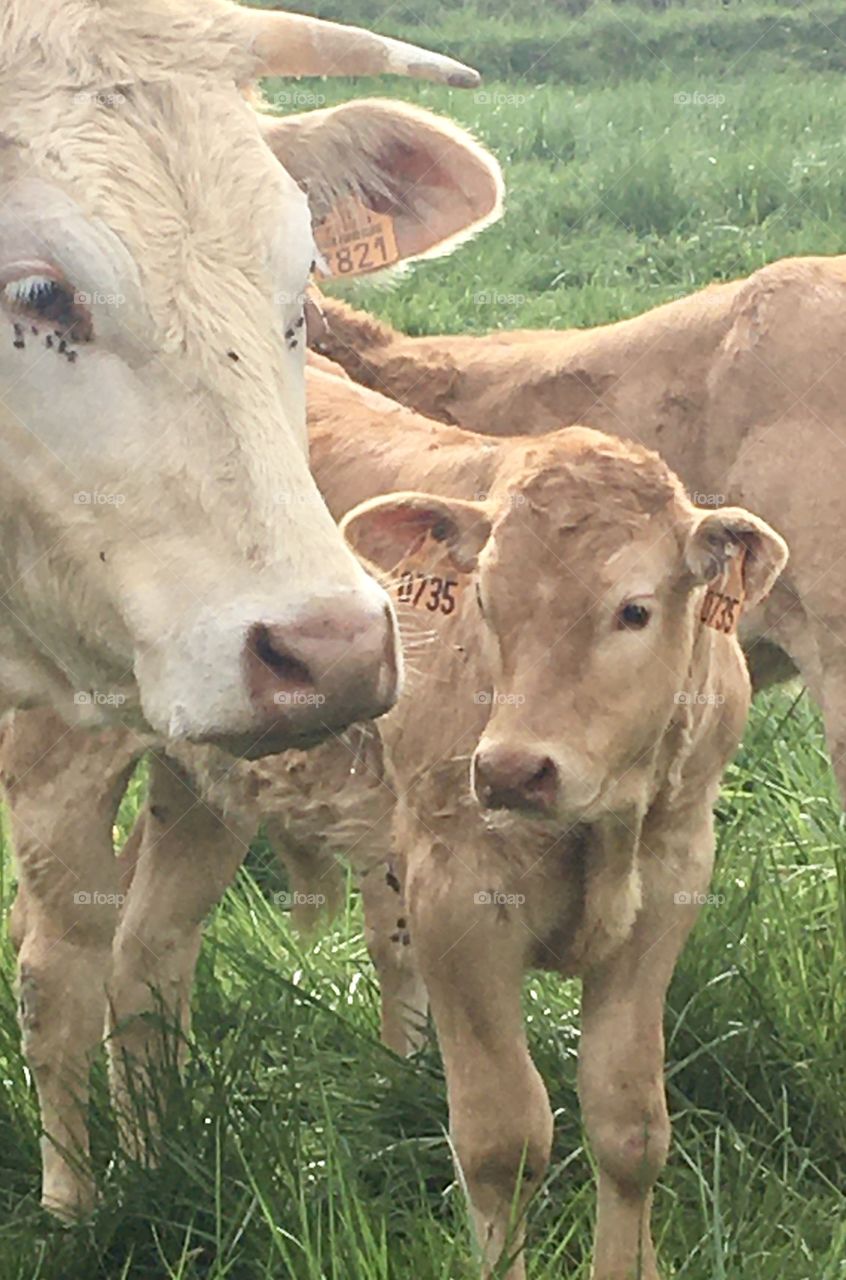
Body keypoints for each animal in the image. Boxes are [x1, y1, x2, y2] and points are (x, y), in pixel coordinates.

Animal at [1, 368, 788, 1280]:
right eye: (483, 600)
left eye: (634, 610)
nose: (512, 769)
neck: (602, 829)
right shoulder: (454, 897)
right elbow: (502, 1140)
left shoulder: (670, 882)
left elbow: (629, 1127)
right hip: (57, 761)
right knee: (55, 977)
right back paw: (75, 1206)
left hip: (203, 784)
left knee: (147, 953)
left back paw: (157, 1163)